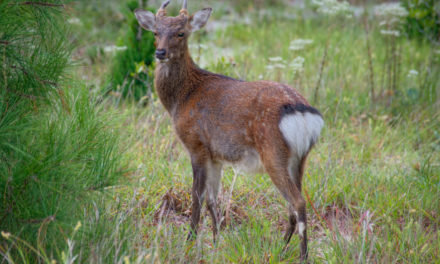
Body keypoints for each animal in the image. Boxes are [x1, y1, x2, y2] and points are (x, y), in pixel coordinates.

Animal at [134, 0, 324, 260]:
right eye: (155, 32)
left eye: (181, 33)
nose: (160, 53)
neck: (181, 98)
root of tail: (304, 113)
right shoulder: (216, 156)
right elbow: (213, 200)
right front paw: (216, 242)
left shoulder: (196, 144)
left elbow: (197, 198)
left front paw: (189, 243)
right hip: (299, 159)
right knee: (292, 205)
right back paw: (280, 249)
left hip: (273, 152)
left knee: (298, 202)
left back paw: (302, 256)